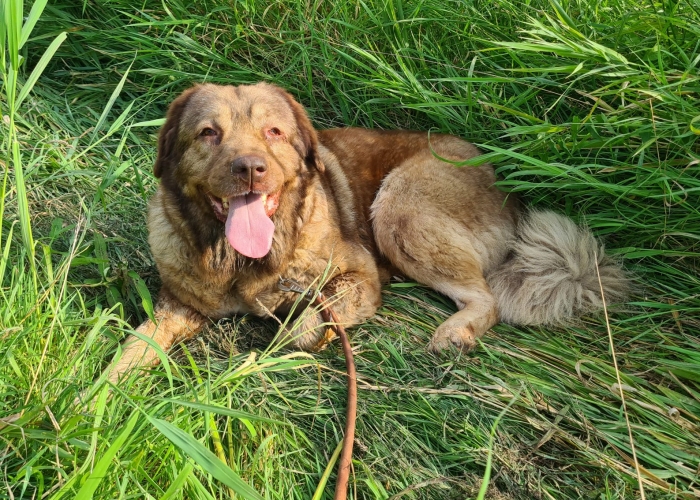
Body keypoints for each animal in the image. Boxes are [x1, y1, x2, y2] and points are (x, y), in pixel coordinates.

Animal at [108, 82, 628, 380]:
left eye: (273, 132)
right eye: (208, 133)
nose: (251, 169)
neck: (241, 263)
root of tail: (508, 188)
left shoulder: (355, 276)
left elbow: (300, 328)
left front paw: (300, 341)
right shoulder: (178, 305)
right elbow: (132, 349)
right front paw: (99, 397)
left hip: (400, 208)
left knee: (487, 297)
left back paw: (454, 333)